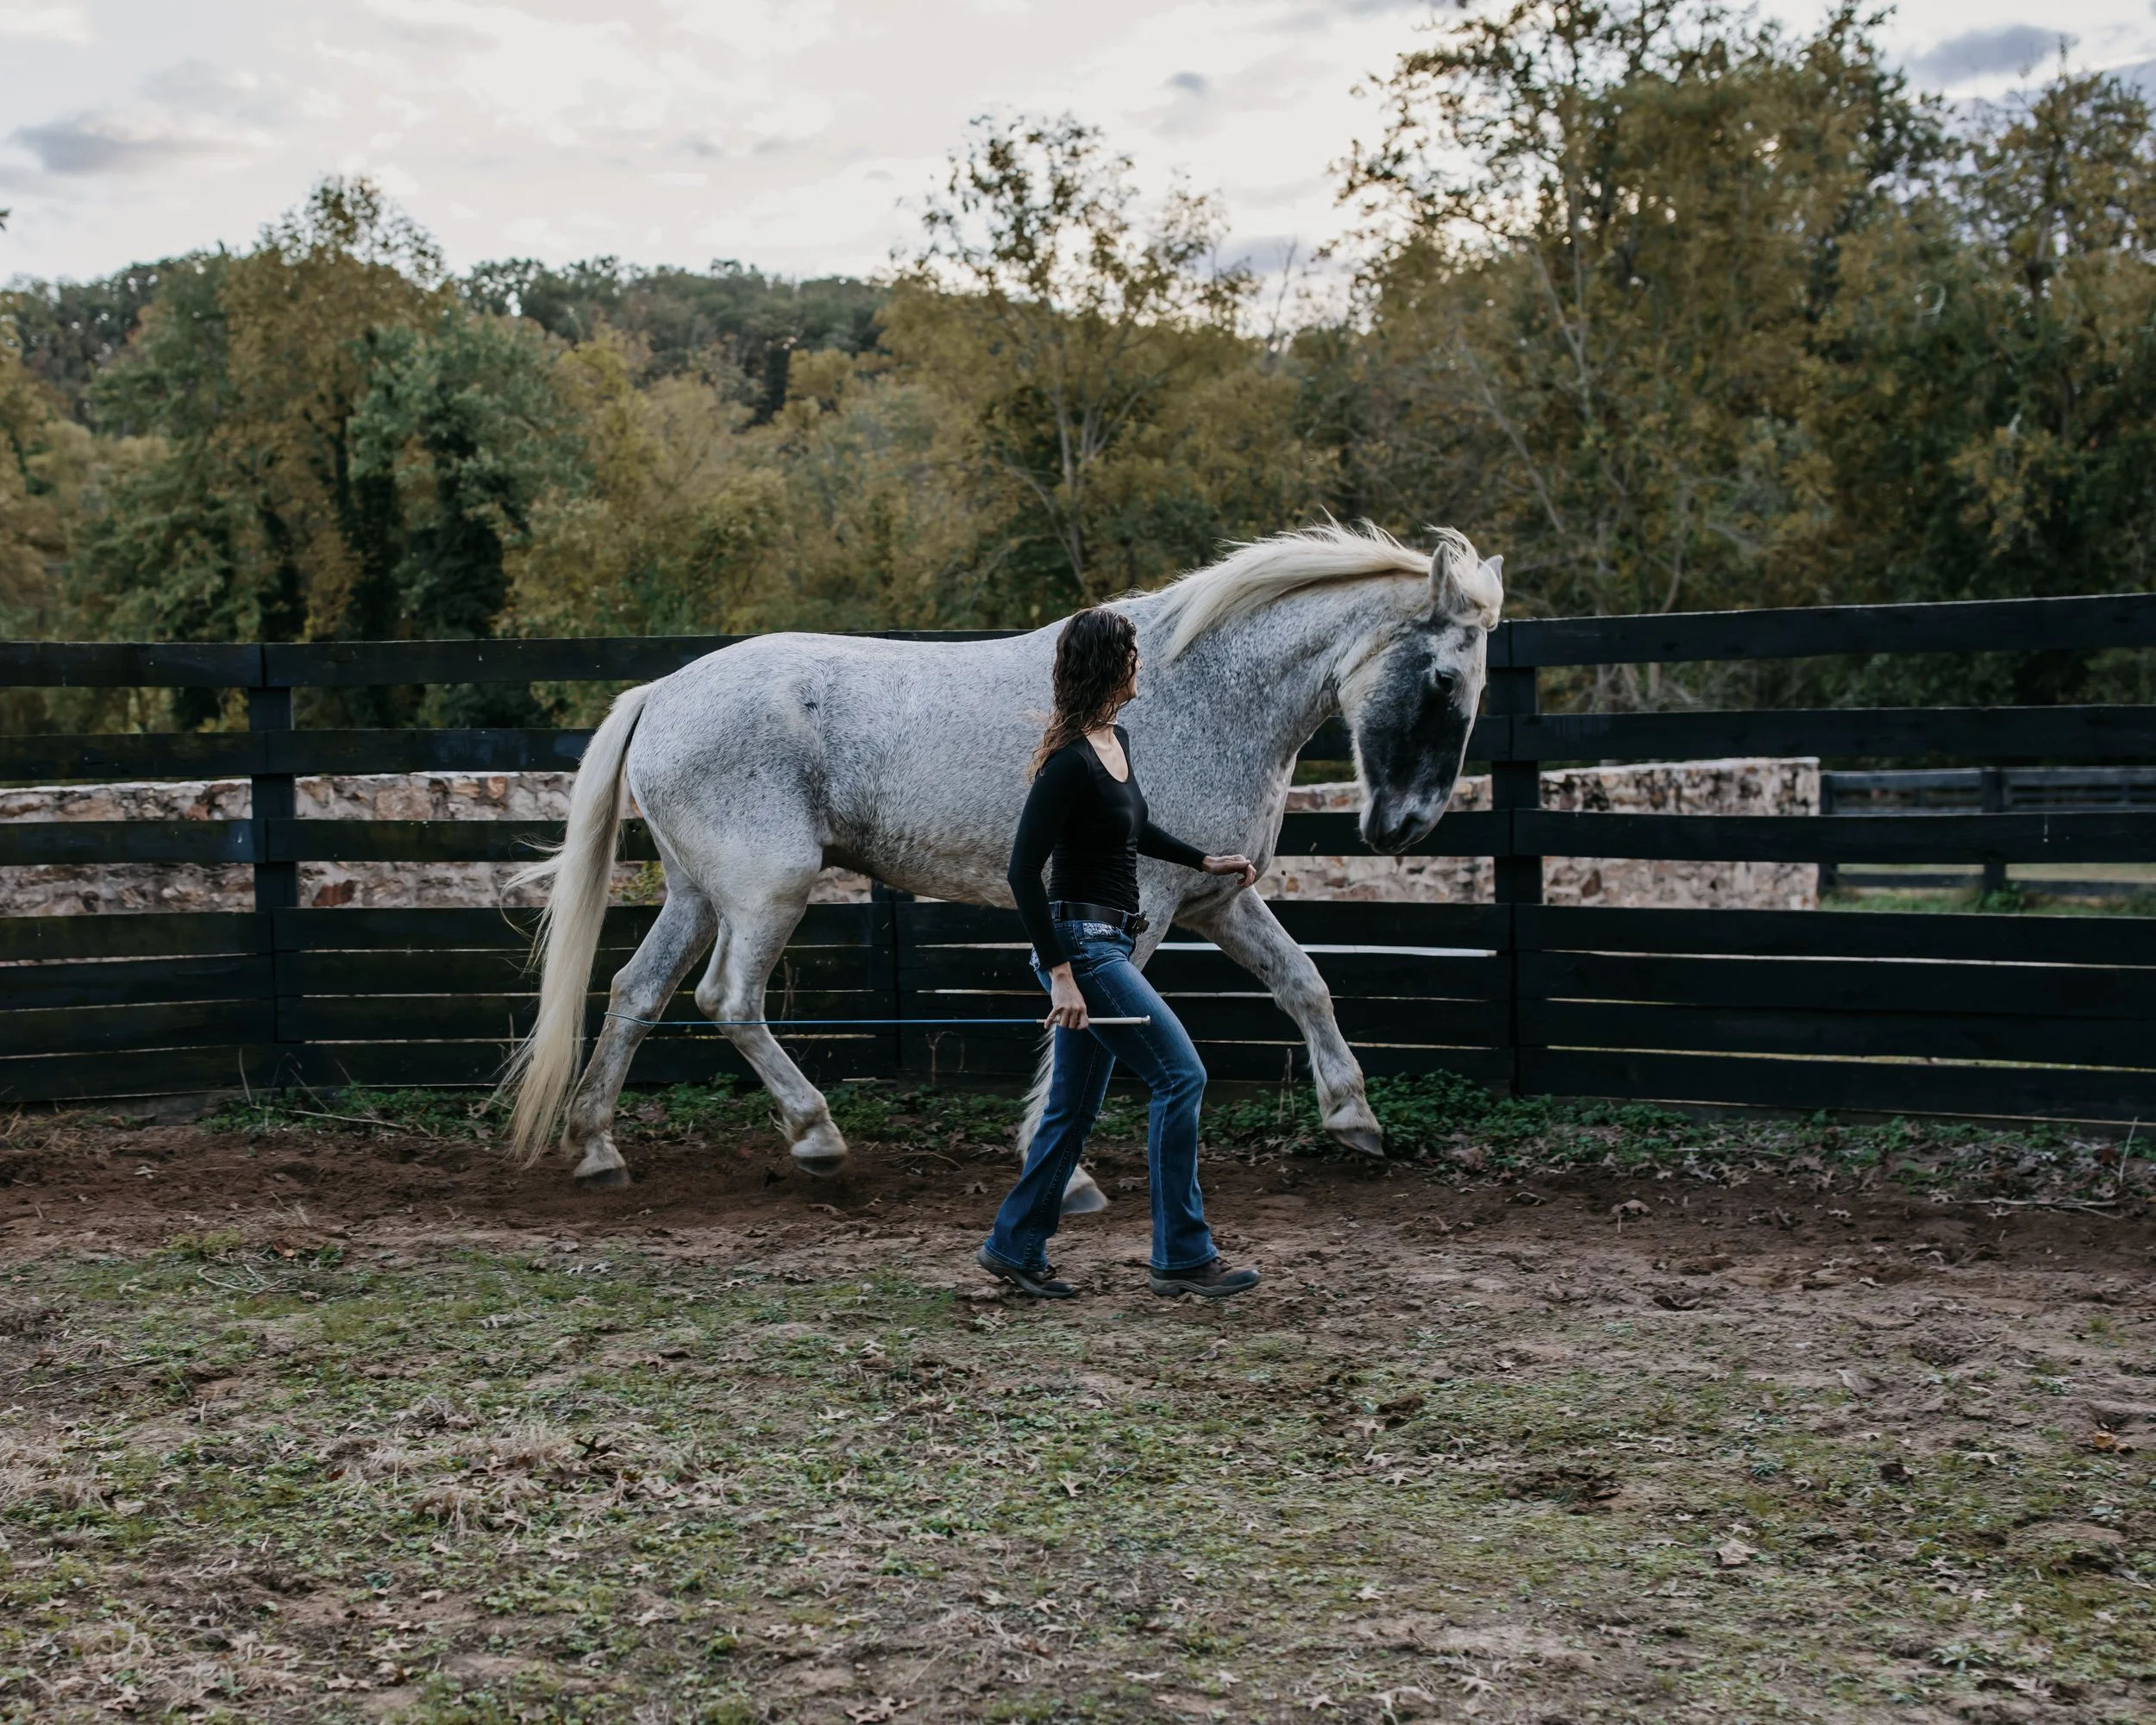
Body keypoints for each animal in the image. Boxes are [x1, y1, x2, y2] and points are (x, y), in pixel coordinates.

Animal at [502, 522, 1503, 1207]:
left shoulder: (1218, 897)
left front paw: (1354, 1119)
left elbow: (1305, 983)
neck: (1204, 698)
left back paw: (598, 1150)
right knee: (727, 999)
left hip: (697, 894)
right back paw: (816, 1136)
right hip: (766, 890)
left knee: (635, 992)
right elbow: (1091, 1030)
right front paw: (1064, 1174)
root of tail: (662, 691)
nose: (1405, 826)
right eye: (1445, 678)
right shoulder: (1137, 909)